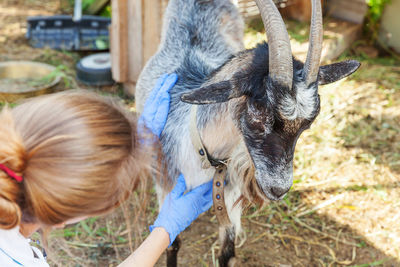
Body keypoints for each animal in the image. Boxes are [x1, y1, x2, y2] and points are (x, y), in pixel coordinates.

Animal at [136, 0, 360, 266]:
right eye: (258, 113)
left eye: (307, 124)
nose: (279, 189)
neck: (202, 152)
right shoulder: (167, 187)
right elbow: (171, 242)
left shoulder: (227, 196)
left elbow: (227, 252)